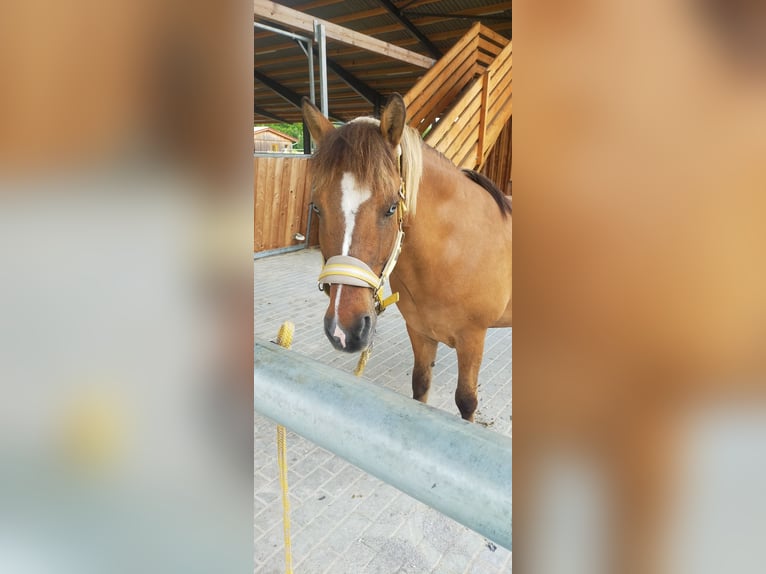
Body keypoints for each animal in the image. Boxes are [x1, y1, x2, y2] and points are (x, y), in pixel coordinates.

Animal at [302, 94, 511, 421]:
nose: (344, 330)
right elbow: (420, 385)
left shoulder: (473, 338)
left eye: (391, 208)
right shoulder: (419, 332)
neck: (452, 252)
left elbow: (466, 401)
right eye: (316, 208)